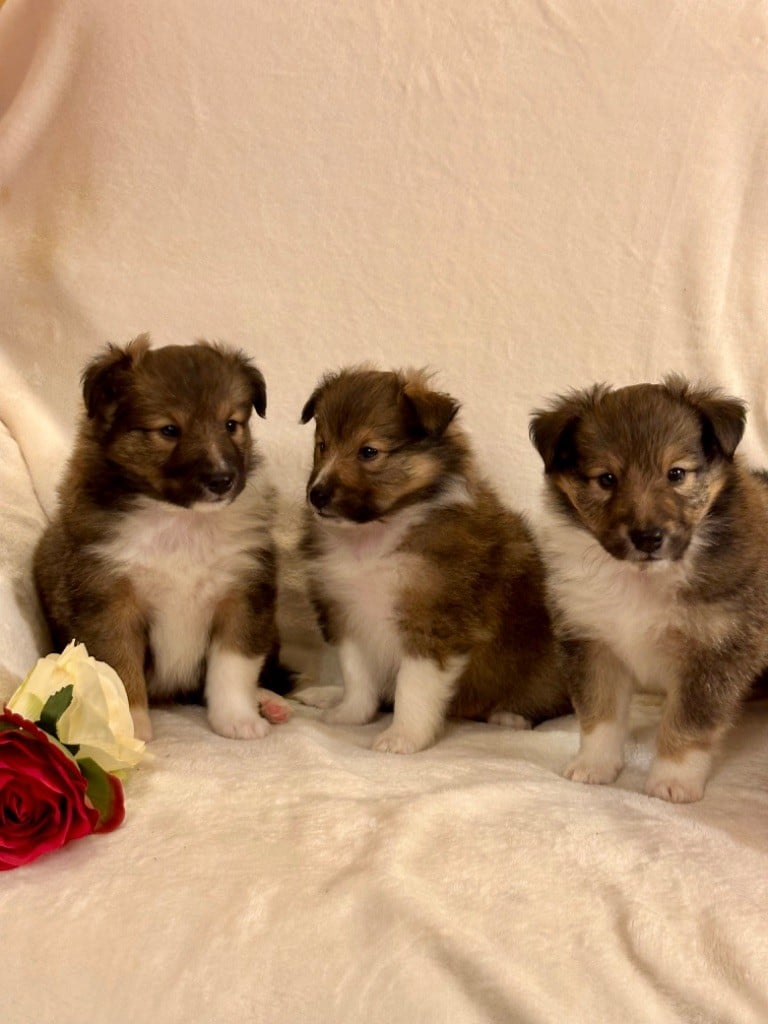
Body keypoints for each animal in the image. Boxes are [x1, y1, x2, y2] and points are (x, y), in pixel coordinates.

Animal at [32, 337, 290, 745]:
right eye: (169, 430)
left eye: (231, 424)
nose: (222, 480)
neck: (181, 520)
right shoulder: (109, 604)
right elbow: (120, 672)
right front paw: (128, 731)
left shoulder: (243, 596)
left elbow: (234, 667)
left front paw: (238, 720)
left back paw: (270, 702)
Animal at [294, 366, 573, 753]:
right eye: (322, 445)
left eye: (368, 451)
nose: (316, 495)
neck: (375, 537)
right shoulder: (345, 612)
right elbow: (357, 677)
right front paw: (349, 715)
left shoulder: (432, 621)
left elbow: (413, 689)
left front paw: (402, 738)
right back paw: (324, 695)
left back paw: (511, 716)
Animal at [532, 376, 768, 798]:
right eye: (607, 479)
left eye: (676, 473)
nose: (647, 538)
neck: (643, 577)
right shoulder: (592, 641)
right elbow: (599, 712)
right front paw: (594, 766)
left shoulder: (716, 649)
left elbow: (689, 723)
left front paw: (672, 781)